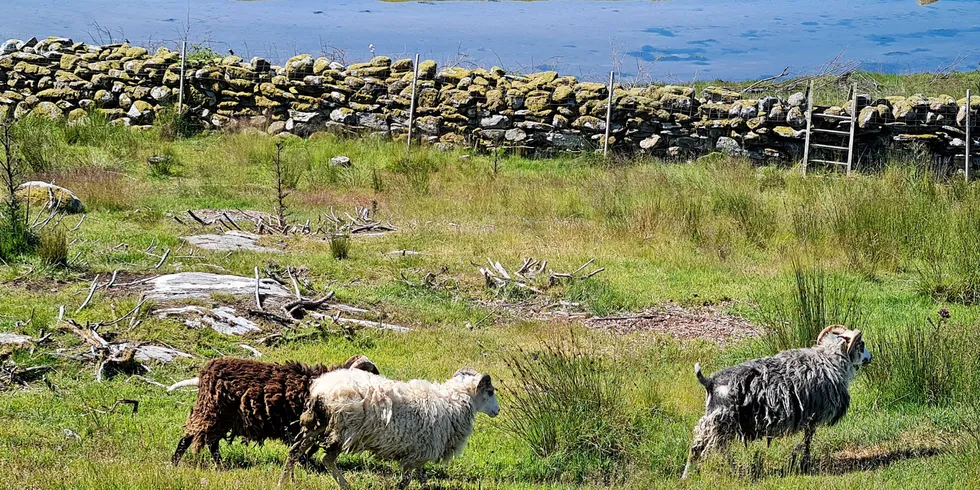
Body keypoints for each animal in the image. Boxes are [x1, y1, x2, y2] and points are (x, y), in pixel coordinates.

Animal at [172, 354, 378, 466]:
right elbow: (301, 448)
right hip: (211, 411)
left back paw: (219, 464)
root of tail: (204, 373)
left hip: (221, 416)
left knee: (211, 442)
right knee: (190, 437)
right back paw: (174, 463)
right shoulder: (301, 426)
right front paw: (307, 465)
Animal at [280, 366, 502, 488]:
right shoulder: (418, 453)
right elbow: (406, 482)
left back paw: (284, 483)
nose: (498, 410)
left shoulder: (420, 453)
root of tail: (321, 388)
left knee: (294, 451)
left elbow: (423, 480)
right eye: (490, 392)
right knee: (327, 459)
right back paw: (346, 486)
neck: (453, 402)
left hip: (318, 424)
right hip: (344, 430)